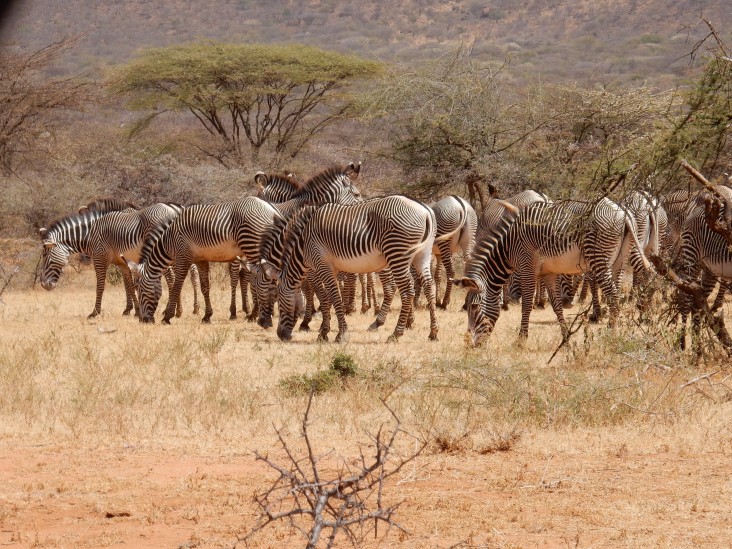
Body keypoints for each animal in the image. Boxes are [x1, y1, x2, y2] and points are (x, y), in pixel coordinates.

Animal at [37, 203, 187, 318]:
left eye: (45, 255)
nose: (44, 285)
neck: (90, 234)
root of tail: (174, 211)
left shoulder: (99, 259)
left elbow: (100, 286)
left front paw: (95, 312)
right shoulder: (122, 263)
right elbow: (130, 286)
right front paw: (135, 311)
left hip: (159, 251)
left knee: (172, 278)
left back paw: (174, 312)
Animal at [126, 197, 280, 324]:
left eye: (141, 290)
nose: (143, 320)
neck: (169, 241)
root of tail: (271, 208)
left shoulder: (183, 258)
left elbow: (177, 286)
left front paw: (167, 316)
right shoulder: (201, 260)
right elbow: (205, 287)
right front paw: (207, 316)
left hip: (252, 245)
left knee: (260, 279)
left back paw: (255, 315)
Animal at [262, 195, 438, 342]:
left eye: (278, 300)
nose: (281, 335)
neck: (303, 244)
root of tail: (424, 209)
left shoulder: (321, 265)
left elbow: (332, 296)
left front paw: (340, 334)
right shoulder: (329, 268)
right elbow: (328, 298)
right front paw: (324, 332)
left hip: (397, 253)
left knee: (407, 291)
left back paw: (395, 334)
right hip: (422, 254)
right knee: (429, 286)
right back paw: (433, 332)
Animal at [454, 196, 648, 342]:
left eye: (474, 307)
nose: (470, 344)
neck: (509, 246)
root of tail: (623, 212)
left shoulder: (526, 267)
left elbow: (526, 304)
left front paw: (521, 339)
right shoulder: (549, 272)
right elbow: (556, 305)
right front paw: (566, 337)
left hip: (599, 258)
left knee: (613, 294)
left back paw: (611, 334)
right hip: (619, 260)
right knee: (616, 292)